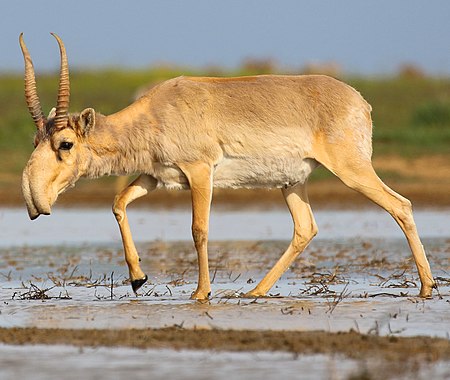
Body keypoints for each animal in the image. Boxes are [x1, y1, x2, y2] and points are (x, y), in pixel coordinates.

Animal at [18, 33, 436, 300]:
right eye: (36, 140)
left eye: (65, 143)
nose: (34, 201)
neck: (155, 112)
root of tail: (360, 101)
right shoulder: (155, 176)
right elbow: (118, 203)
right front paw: (138, 279)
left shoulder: (200, 172)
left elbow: (199, 229)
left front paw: (200, 292)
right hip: (292, 183)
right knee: (305, 228)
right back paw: (256, 291)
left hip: (352, 170)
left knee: (400, 205)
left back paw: (427, 287)